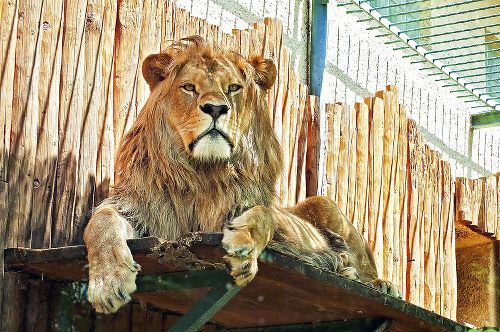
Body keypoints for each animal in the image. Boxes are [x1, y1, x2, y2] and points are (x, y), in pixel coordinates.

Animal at [84, 36, 400, 314]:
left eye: (233, 88)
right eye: (189, 87)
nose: (216, 108)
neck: (203, 172)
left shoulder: (253, 208)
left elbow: (264, 216)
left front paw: (243, 247)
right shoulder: (141, 211)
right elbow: (100, 224)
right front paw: (109, 281)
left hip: (324, 203)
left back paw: (379, 283)